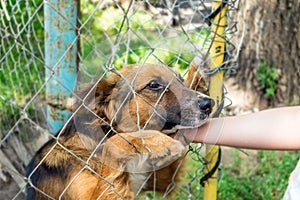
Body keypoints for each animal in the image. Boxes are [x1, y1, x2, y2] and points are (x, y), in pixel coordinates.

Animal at [25, 58, 213, 199]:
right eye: (154, 85)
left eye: (180, 80)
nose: (209, 104)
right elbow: (114, 143)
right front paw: (157, 140)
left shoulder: (160, 181)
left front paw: (197, 76)